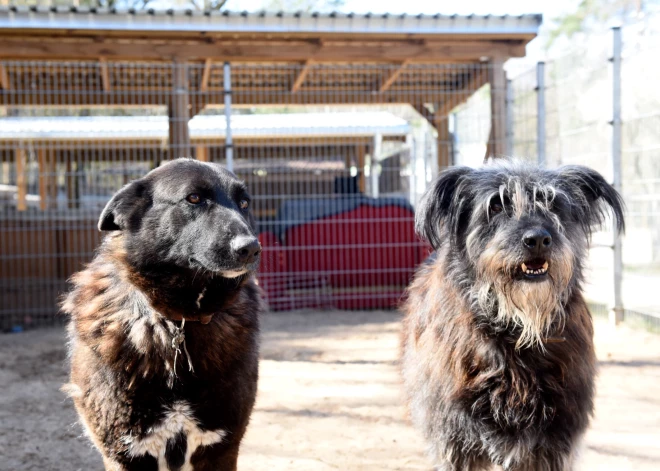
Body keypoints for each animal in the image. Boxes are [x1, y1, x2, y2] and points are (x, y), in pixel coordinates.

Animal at [61, 159, 262, 471]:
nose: (251, 248)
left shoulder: (222, 449)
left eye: (244, 203)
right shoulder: (123, 453)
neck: (177, 321)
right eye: (194, 198)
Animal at [402, 160, 624, 470]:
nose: (538, 239)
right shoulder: (455, 438)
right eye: (496, 205)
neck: (517, 330)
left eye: (552, 203)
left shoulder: (554, 440)